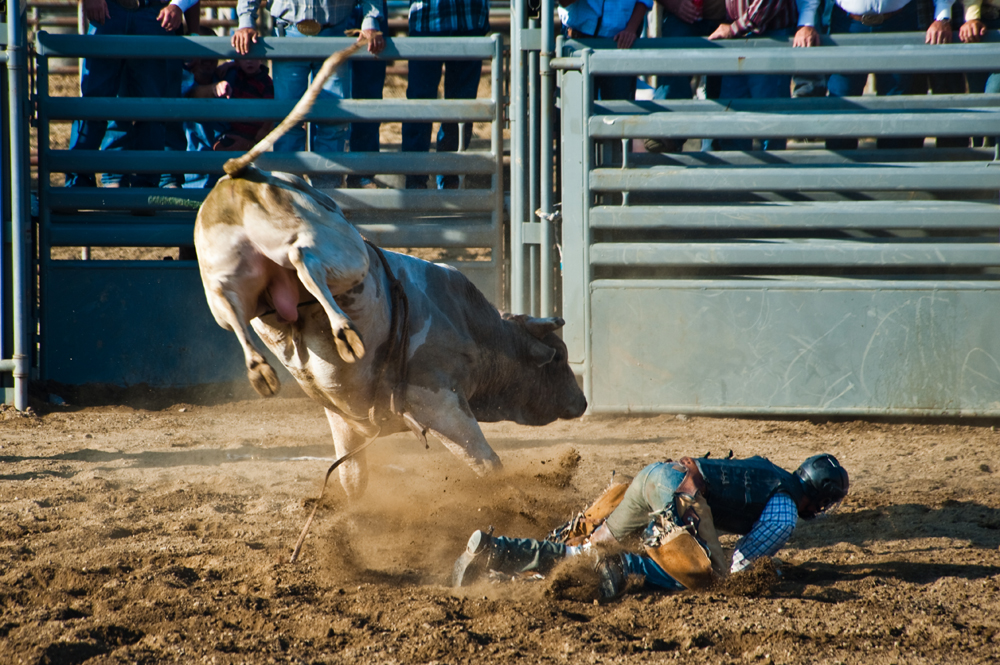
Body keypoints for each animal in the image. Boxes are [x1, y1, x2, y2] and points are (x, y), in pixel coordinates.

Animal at [194, 165, 588, 498]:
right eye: (560, 359)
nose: (583, 402)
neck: (473, 328)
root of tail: (244, 176)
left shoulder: (344, 421)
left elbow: (353, 477)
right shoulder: (440, 402)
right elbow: (487, 463)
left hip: (226, 279)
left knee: (229, 304)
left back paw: (260, 367)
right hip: (343, 253)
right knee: (304, 259)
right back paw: (343, 331)